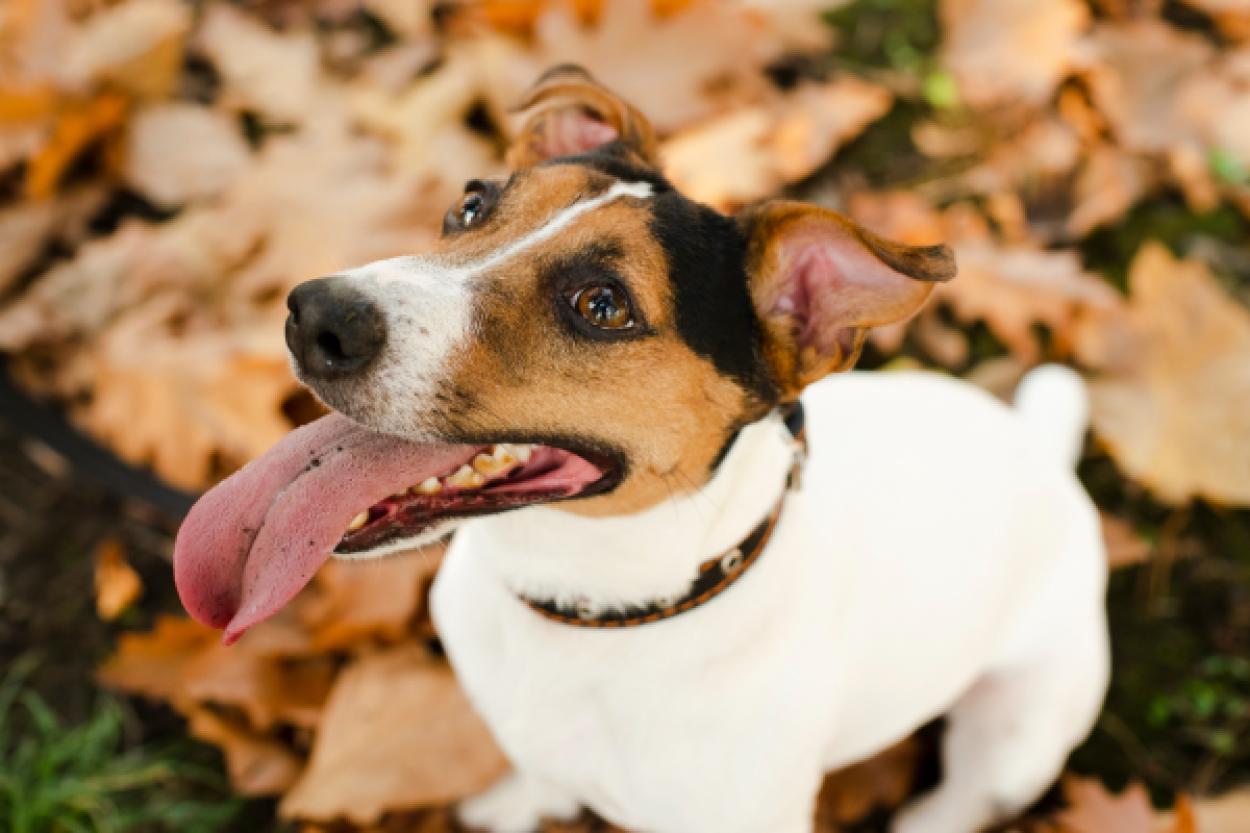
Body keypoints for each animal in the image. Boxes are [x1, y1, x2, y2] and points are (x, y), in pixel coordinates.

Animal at [171, 66, 1110, 830]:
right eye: (472, 203)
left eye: (602, 304)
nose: (315, 315)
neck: (594, 611)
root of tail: (1043, 449)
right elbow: (539, 778)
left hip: (1019, 733)